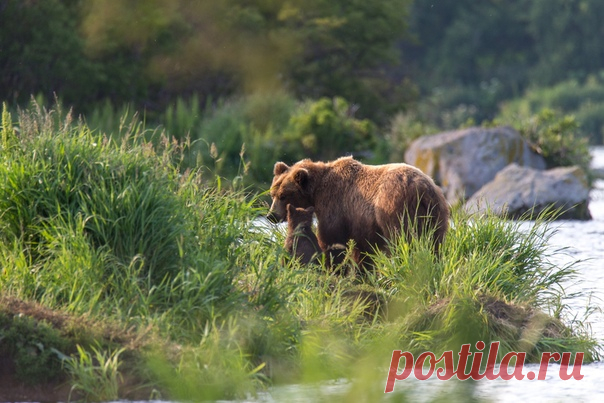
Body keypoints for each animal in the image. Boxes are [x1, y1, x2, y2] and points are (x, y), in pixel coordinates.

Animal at [268, 156, 448, 266]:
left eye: (284, 195)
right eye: (272, 193)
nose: (271, 216)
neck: (316, 191)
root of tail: (423, 189)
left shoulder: (335, 206)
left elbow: (332, 241)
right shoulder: (360, 224)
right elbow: (363, 251)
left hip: (395, 208)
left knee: (404, 241)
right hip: (435, 214)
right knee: (434, 244)